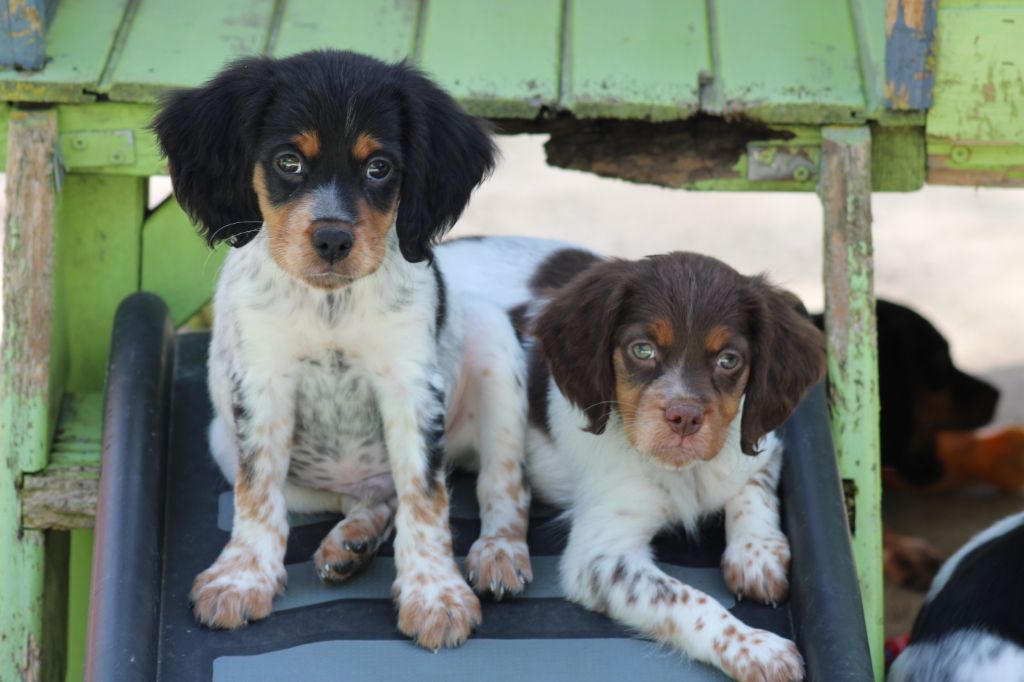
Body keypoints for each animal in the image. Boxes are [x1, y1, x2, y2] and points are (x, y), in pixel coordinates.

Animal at [157, 50, 536, 647]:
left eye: (378, 168)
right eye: (288, 161)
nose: (333, 240)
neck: (329, 303)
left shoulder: (410, 384)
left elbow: (426, 496)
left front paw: (435, 594)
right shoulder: (261, 383)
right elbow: (256, 493)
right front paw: (242, 578)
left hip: (494, 349)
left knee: (503, 487)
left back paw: (498, 552)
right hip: (225, 441)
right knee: (369, 496)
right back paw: (351, 540)